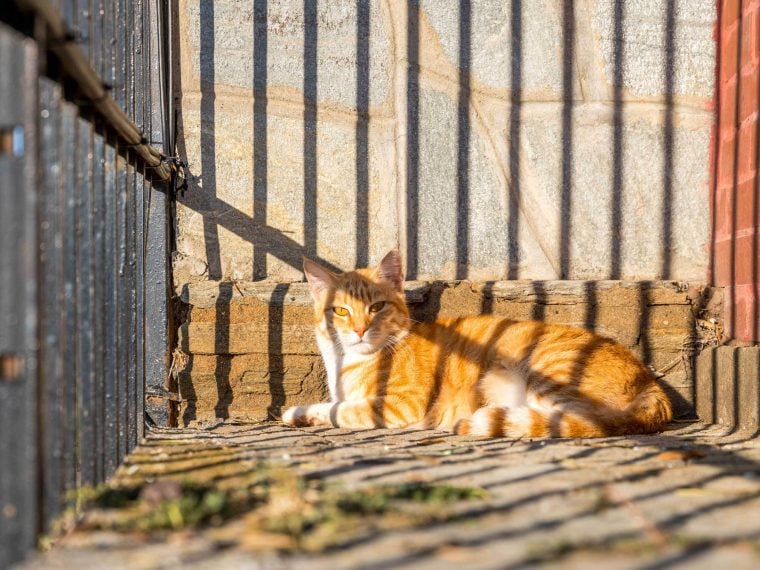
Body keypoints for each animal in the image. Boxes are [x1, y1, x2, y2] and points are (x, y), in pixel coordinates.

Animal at [284, 247, 672, 434]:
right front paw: (301, 413)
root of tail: (651, 382)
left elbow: (342, 409)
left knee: (578, 421)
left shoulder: (403, 404)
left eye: (376, 307)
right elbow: (332, 404)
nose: (360, 330)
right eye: (341, 311)